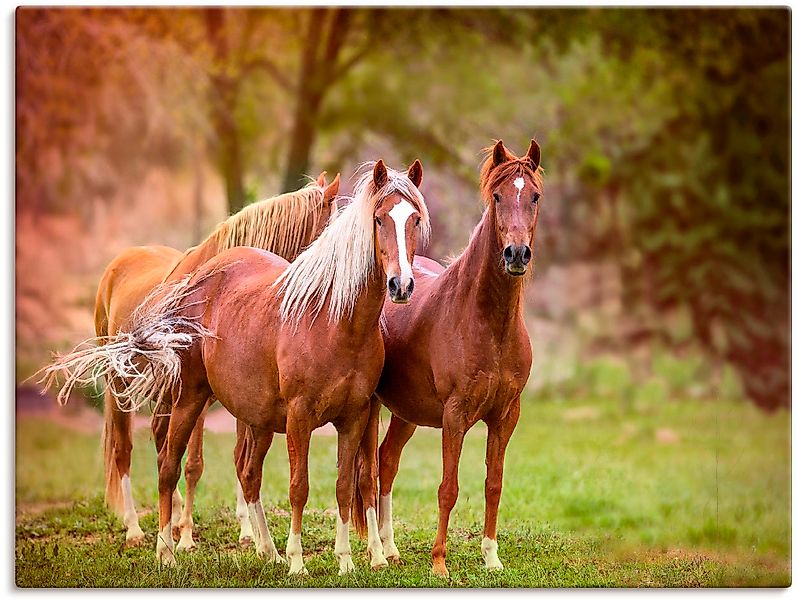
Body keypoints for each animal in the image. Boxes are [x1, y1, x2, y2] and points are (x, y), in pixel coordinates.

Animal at [46, 172, 338, 548]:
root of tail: (118, 263)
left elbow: (234, 459)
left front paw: (247, 534)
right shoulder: (197, 393)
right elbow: (194, 463)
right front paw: (185, 536)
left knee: (161, 442)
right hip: (120, 384)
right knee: (125, 449)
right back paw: (136, 528)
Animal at [352, 138, 540, 580]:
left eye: (535, 196)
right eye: (497, 196)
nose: (516, 254)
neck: (488, 323)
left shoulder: (506, 416)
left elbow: (493, 485)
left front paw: (491, 557)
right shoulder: (455, 416)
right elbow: (448, 488)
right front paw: (439, 562)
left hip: (407, 413)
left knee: (387, 461)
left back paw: (392, 549)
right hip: (370, 409)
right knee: (369, 473)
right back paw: (377, 553)